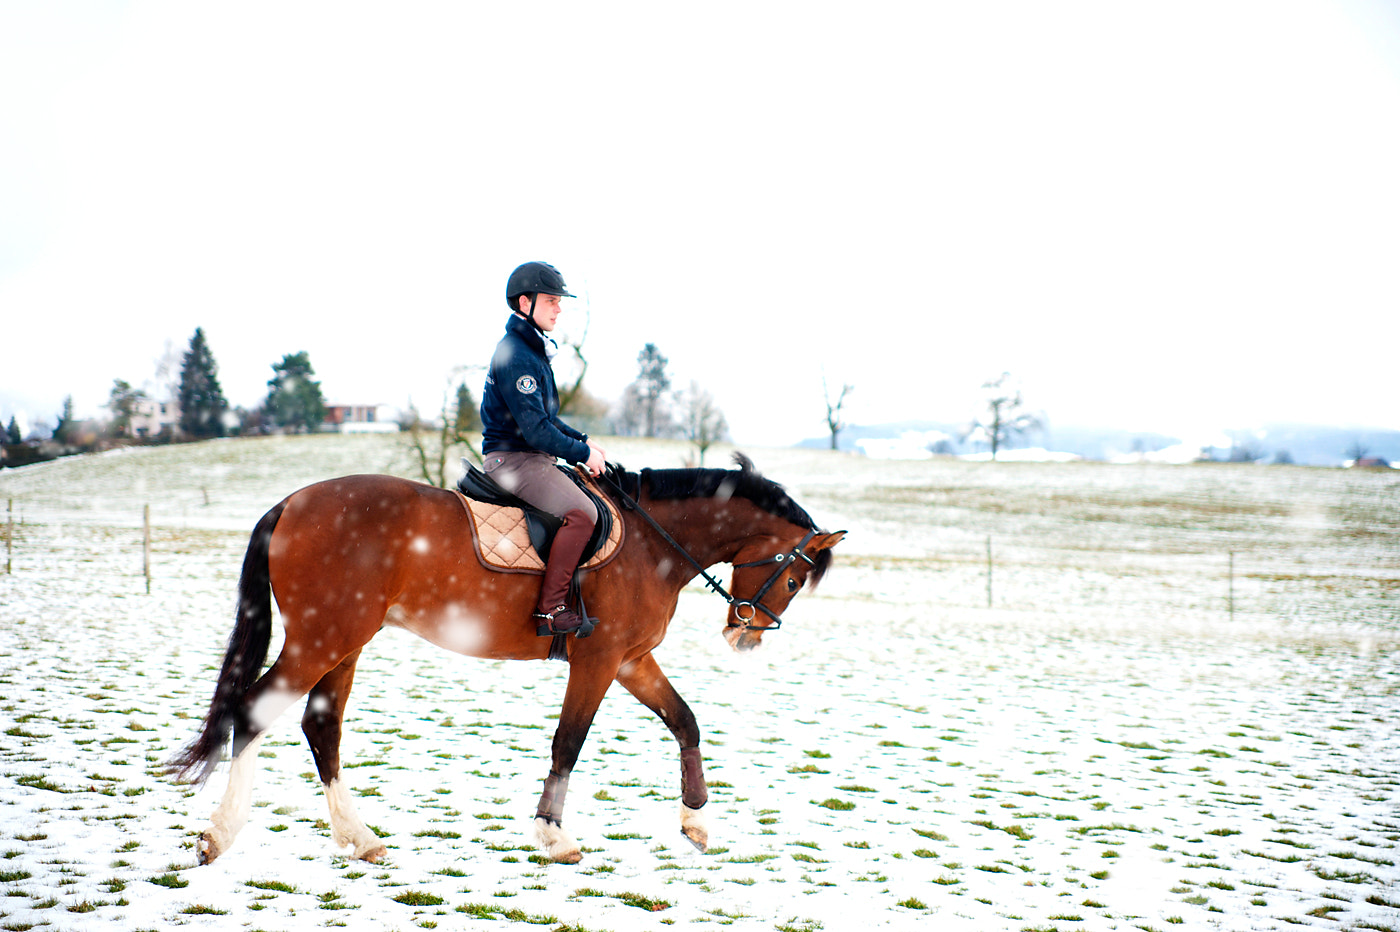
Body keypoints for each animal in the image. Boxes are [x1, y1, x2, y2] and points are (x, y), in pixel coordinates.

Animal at [163, 453, 840, 862]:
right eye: (792, 578)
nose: (748, 636)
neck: (653, 543)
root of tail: (291, 504)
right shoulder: (598, 663)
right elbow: (568, 742)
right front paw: (554, 835)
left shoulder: (631, 662)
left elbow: (685, 722)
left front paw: (695, 822)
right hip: (322, 639)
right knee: (253, 710)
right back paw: (219, 834)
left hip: (346, 642)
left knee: (320, 726)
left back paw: (358, 838)